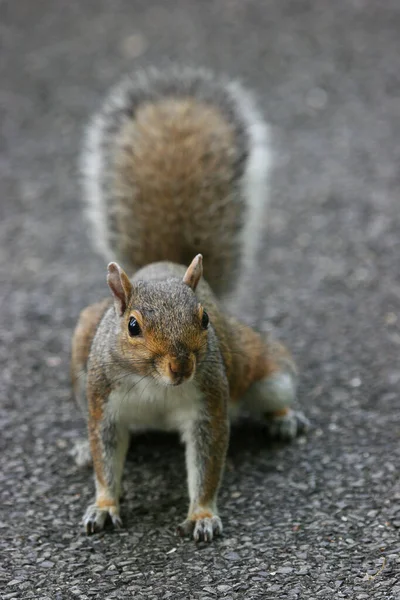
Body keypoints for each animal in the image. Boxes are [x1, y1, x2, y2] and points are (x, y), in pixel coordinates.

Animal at [71, 67, 310, 544]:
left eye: (203, 319)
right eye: (132, 326)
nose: (182, 368)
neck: (154, 385)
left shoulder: (209, 402)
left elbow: (207, 461)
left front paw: (202, 515)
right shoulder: (104, 402)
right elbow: (106, 456)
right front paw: (103, 506)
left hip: (261, 366)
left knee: (275, 388)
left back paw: (283, 418)